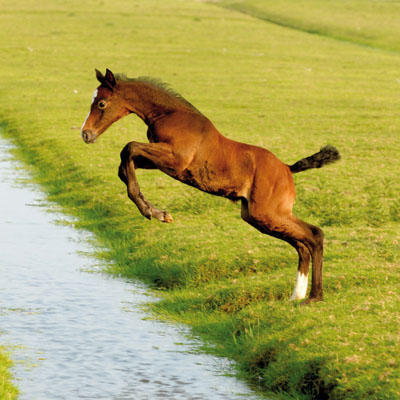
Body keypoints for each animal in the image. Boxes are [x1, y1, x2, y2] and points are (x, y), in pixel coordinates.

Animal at [81, 69, 340, 300]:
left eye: (101, 103)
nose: (86, 134)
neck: (170, 114)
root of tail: (287, 168)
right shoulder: (161, 161)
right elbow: (125, 166)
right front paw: (156, 211)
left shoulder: (175, 160)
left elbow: (129, 148)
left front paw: (154, 213)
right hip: (259, 216)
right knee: (301, 244)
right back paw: (296, 296)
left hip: (267, 213)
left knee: (314, 235)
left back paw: (315, 296)